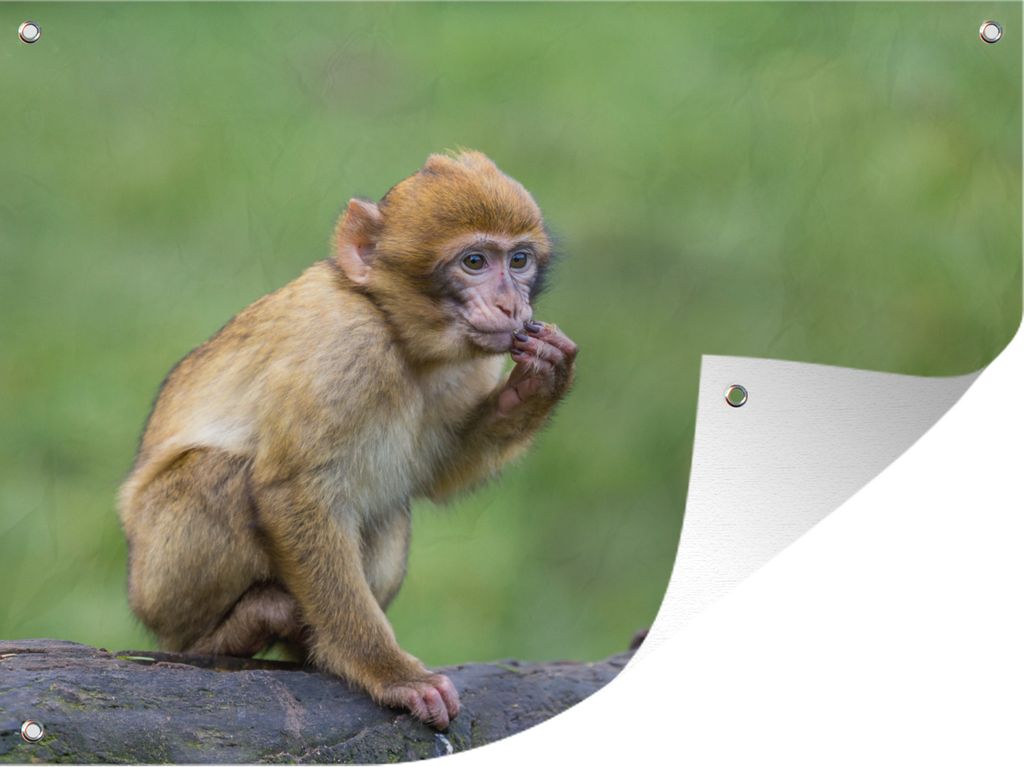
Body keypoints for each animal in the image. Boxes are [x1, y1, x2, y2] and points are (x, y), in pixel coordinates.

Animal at [117, 150, 577, 730]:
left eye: (518, 261)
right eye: (474, 262)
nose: (509, 304)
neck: (396, 331)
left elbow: (436, 474)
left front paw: (541, 380)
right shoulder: (346, 349)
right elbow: (295, 492)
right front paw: (388, 671)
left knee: (388, 506)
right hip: (156, 588)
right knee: (214, 474)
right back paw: (227, 637)